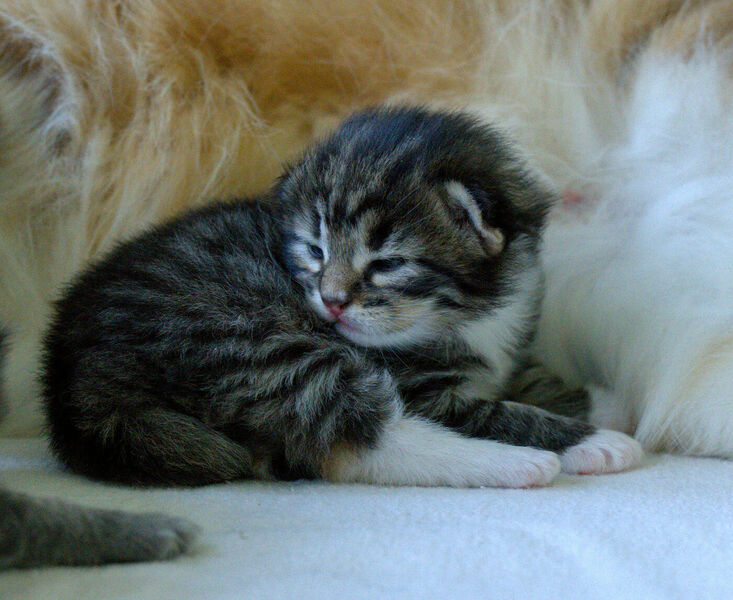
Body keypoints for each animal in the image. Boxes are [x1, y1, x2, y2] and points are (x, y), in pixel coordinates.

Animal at [40, 108, 640, 490]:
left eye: (388, 264)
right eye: (315, 250)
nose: (330, 303)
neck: (468, 315)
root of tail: (70, 385)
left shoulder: (506, 341)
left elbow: (529, 377)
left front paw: (607, 400)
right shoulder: (420, 388)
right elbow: (495, 411)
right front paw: (595, 437)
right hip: (248, 340)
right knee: (363, 440)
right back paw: (521, 465)